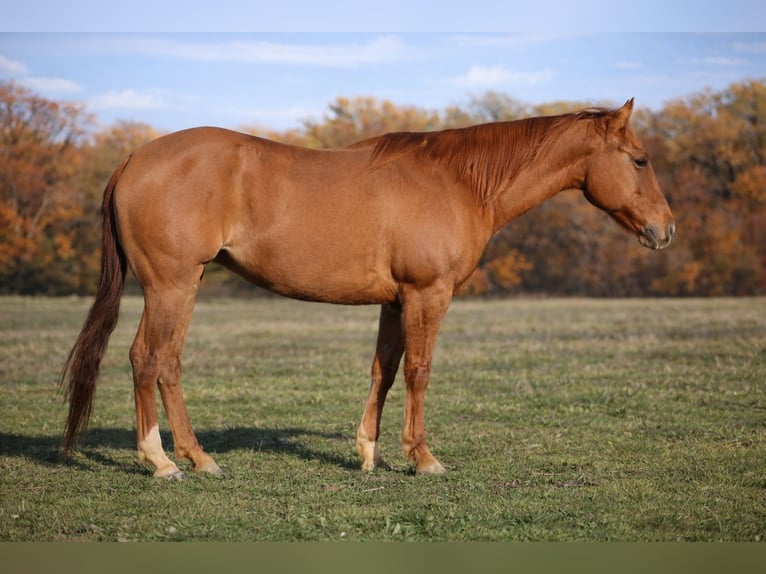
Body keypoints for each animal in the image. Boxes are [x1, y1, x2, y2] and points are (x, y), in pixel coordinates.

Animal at [60, 98, 675, 479]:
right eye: (640, 160)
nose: (665, 229)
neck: (458, 181)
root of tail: (135, 158)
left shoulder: (394, 302)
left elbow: (384, 369)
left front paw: (369, 454)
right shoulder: (428, 294)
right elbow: (419, 371)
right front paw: (423, 458)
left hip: (182, 286)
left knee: (166, 362)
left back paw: (197, 458)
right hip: (171, 285)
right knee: (149, 358)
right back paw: (162, 461)